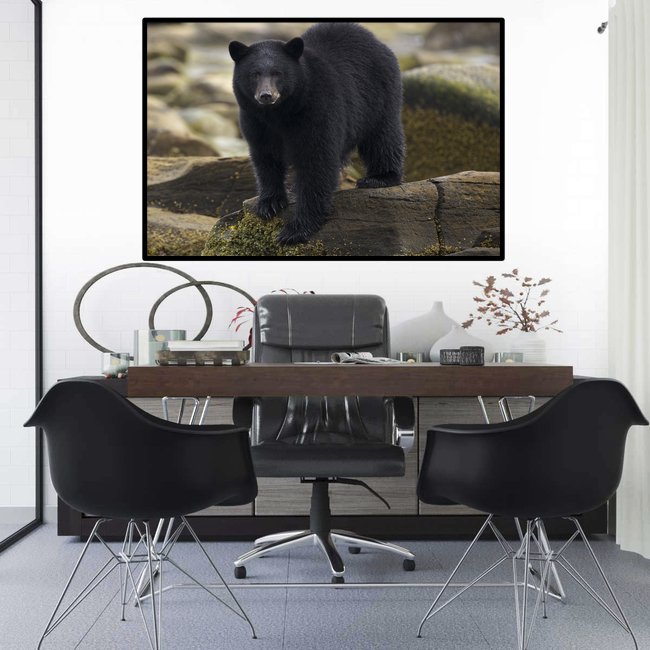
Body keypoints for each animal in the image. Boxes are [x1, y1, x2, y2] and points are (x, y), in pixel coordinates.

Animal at [229, 22, 405, 245]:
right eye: (255, 73)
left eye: (278, 73)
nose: (266, 95)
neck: (279, 113)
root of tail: (374, 39)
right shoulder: (256, 121)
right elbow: (265, 159)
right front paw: (269, 203)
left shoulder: (317, 109)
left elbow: (316, 161)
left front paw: (296, 229)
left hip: (379, 95)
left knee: (383, 137)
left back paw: (379, 178)